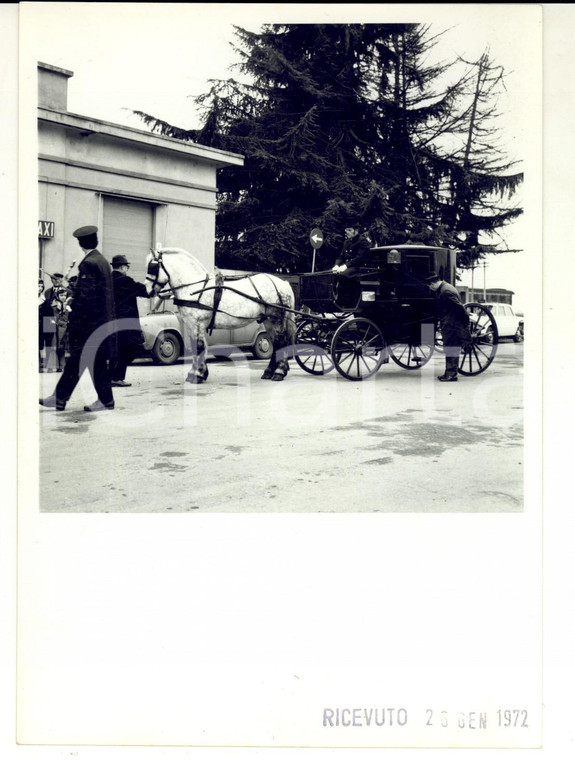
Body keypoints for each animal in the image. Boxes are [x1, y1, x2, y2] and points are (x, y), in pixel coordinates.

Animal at [144, 248, 296, 382]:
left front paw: (198, 374)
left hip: (275, 319)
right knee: (275, 343)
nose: (146, 291)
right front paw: (196, 373)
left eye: (152, 267)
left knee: (281, 342)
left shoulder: (197, 323)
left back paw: (279, 372)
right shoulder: (191, 325)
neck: (195, 288)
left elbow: (199, 347)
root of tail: (282, 283)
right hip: (267, 320)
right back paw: (269, 372)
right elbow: (195, 347)